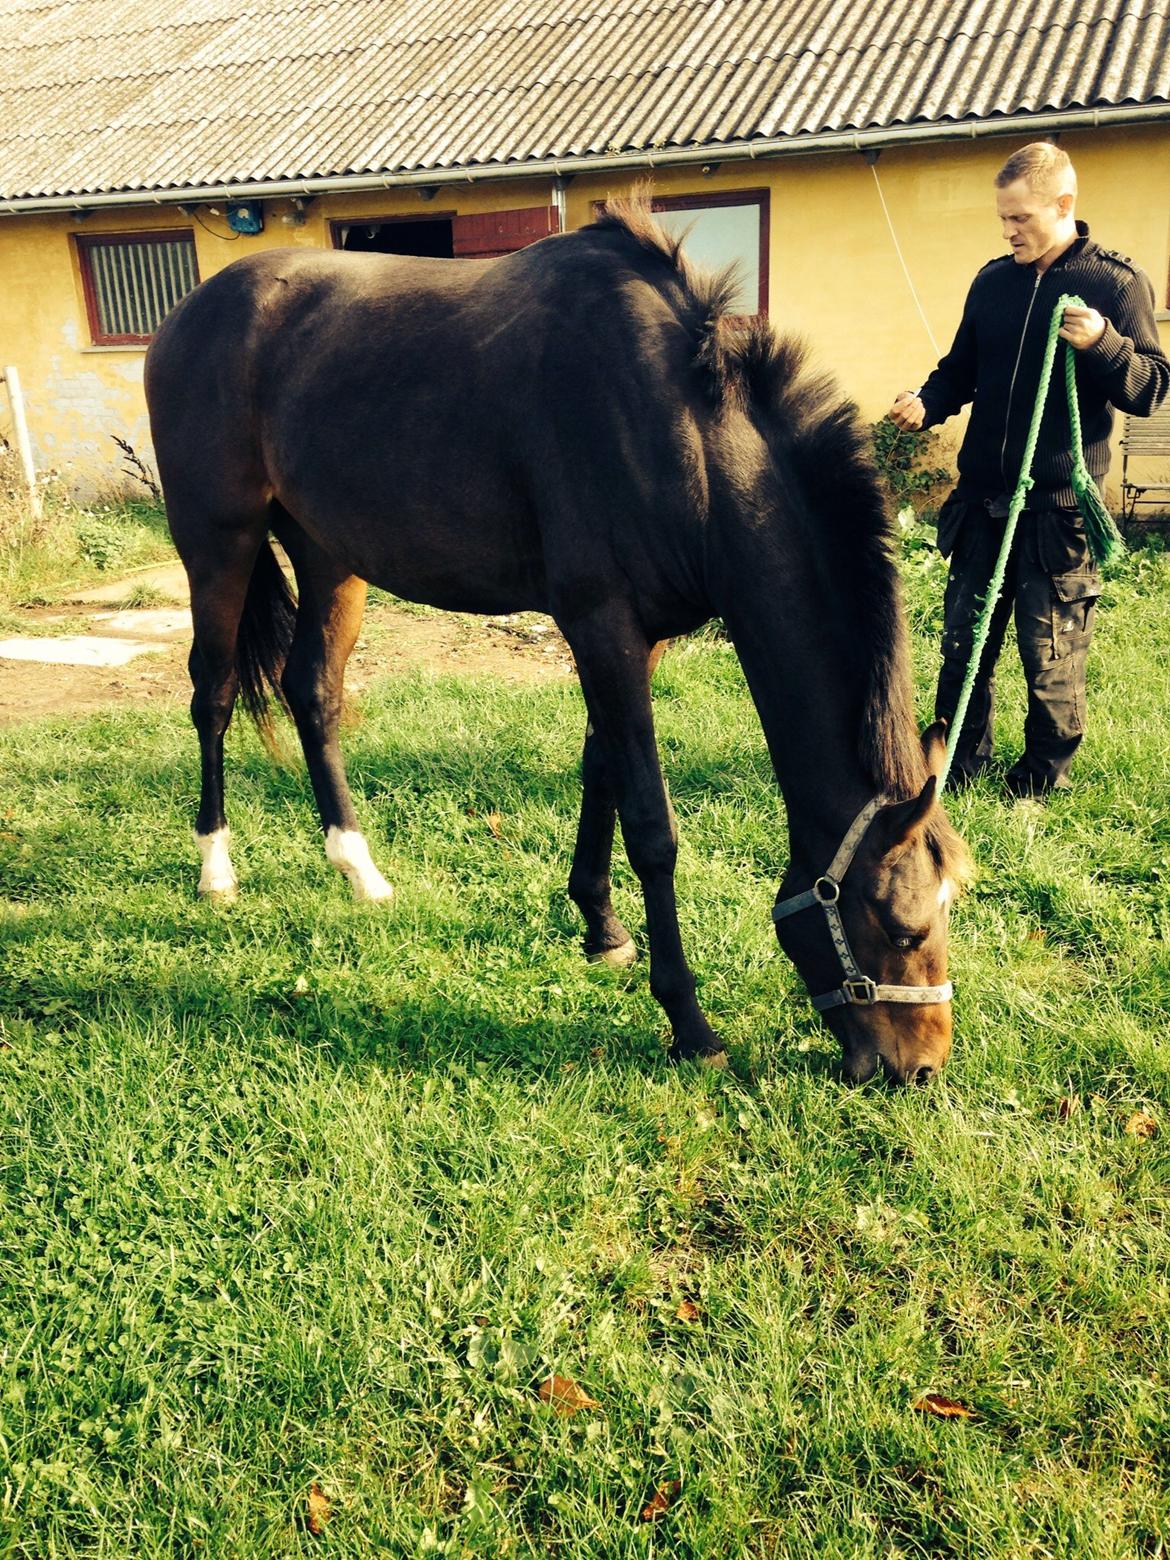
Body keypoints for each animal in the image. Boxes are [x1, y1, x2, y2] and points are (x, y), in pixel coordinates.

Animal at [144, 191, 973, 1085]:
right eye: (902, 926)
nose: (921, 1068)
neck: (677, 431)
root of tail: (187, 313)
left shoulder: (637, 637)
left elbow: (599, 769)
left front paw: (601, 929)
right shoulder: (600, 622)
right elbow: (652, 824)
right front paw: (688, 1020)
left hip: (329, 555)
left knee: (313, 692)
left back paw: (357, 868)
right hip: (217, 544)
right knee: (214, 694)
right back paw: (216, 867)